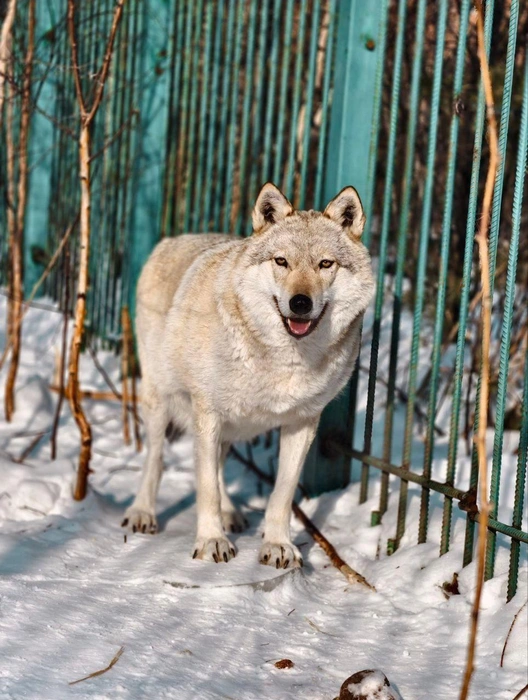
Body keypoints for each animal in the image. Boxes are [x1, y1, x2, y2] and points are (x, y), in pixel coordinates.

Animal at [121, 185, 374, 568]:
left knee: (218, 464)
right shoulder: (207, 413)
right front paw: (211, 542)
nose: (300, 303)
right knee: (156, 460)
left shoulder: (303, 423)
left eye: (325, 264)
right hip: (160, 404)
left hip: (229, 426)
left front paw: (278, 545)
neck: (287, 359)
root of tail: (174, 239)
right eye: (281, 262)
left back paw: (231, 513)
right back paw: (142, 513)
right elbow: (206, 488)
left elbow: (281, 494)